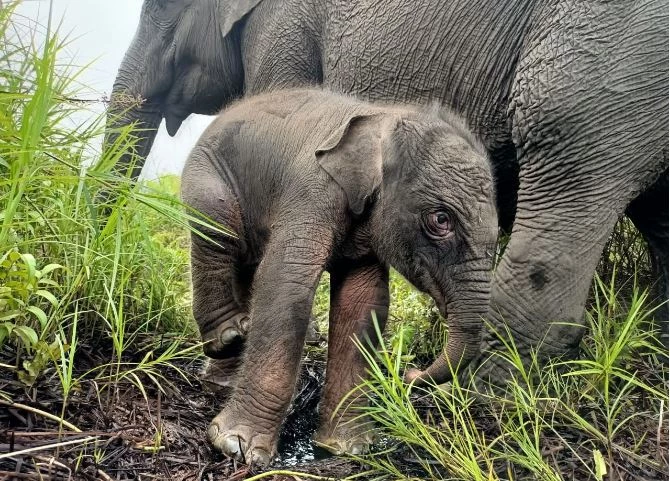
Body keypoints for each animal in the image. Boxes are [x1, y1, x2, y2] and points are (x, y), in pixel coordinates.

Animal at [182, 88, 498, 464]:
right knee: (218, 233)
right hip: (206, 171)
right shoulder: (313, 191)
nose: (409, 374)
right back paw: (229, 335)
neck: (384, 117)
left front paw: (347, 448)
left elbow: (363, 303)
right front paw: (236, 447)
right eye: (440, 220)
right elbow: (286, 282)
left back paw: (226, 374)